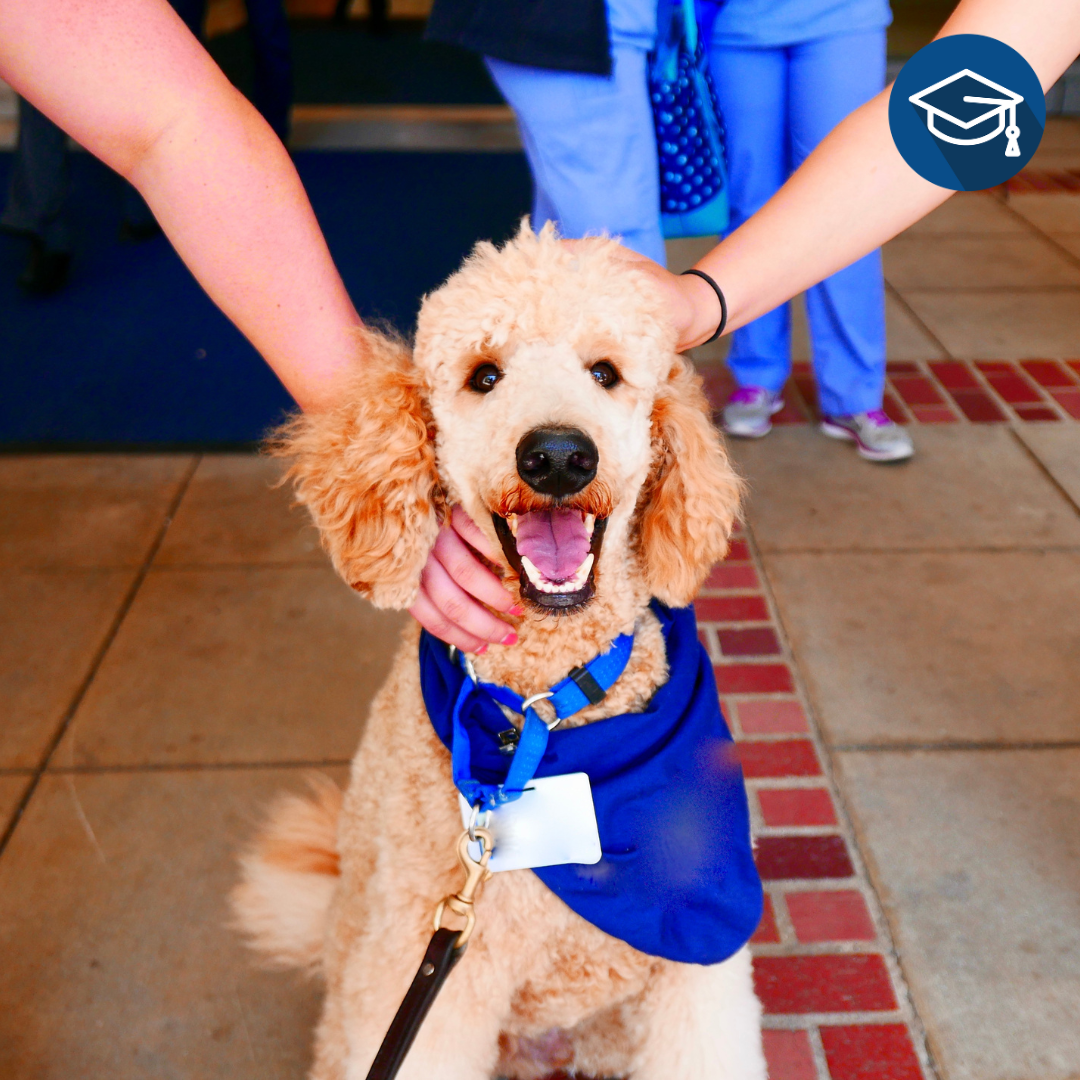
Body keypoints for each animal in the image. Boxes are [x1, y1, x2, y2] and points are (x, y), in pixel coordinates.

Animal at [232, 224, 766, 1080]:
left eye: (605, 373)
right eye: (484, 376)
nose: (558, 456)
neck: (547, 707)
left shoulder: (698, 965)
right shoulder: (434, 974)